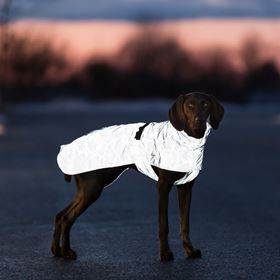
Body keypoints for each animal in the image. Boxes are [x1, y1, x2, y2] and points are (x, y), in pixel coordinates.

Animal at [51, 93, 224, 262]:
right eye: (189, 106)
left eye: (205, 104)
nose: (198, 121)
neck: (187, 140)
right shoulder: (163, 187)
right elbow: (164, 225)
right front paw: (165, 254)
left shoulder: (186, 187)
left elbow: (185, 224)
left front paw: (190, 250)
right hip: (92, 189)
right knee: (66, 218)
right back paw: (66, 252)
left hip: (88, 189)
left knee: (60, 215)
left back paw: (57, 250)